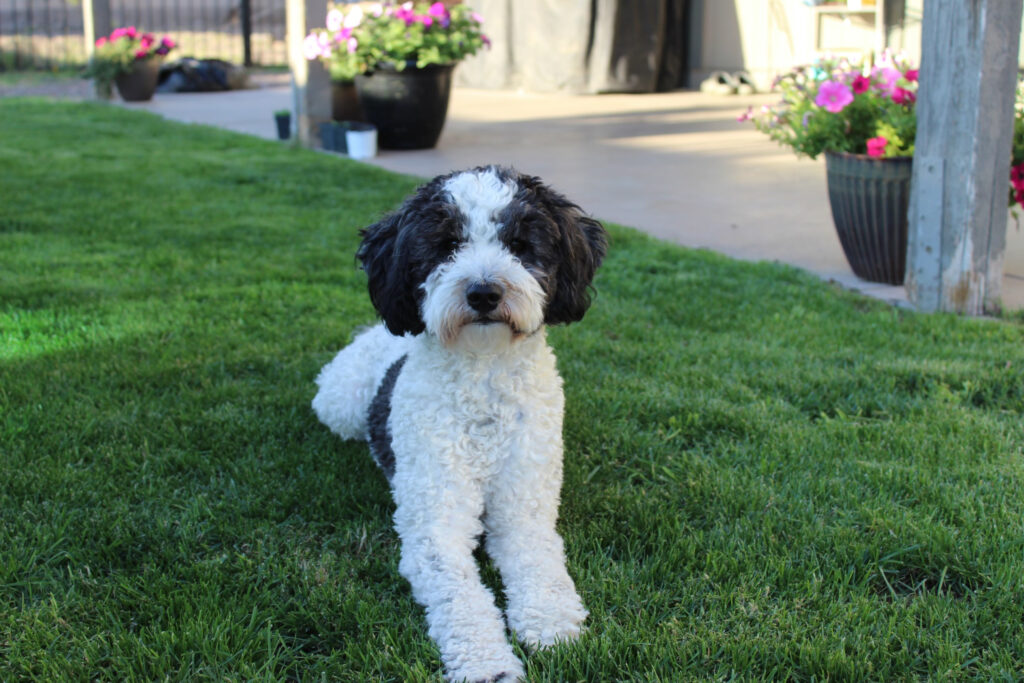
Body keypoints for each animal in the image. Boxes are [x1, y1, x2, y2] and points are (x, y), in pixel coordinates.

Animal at [311, 165, 606, 683]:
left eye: (520, 244)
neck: (483, 385)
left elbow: (541, 567)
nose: (484, 291)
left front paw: (551, 623)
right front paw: (489, 663)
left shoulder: (524, 508)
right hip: (338, 405)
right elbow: (461, 598)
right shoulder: (435, 523)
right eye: (447, 244)